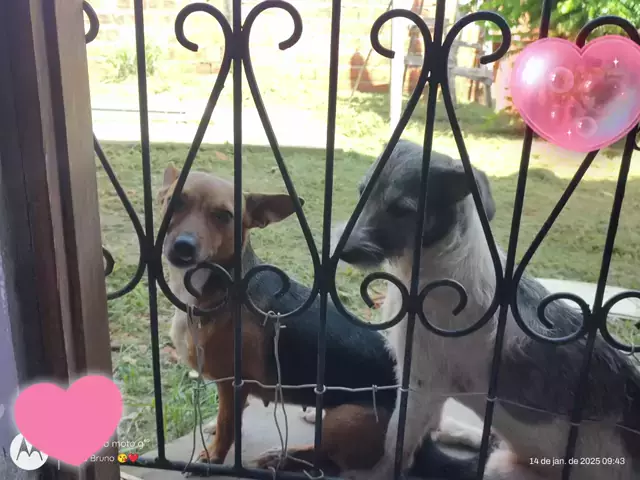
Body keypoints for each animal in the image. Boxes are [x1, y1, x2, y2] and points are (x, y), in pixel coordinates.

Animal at [159, 165, 488, 478]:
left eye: (224, 216)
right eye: (174, 202)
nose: (183, 247)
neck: (219, 284)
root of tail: (423, 444)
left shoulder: (233, 383)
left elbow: (229, 425)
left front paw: (213, 457)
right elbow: (226, 417)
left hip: (344, 418)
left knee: (325, 457)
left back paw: (284, 457)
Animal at [337, 140, 640, 480]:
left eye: (402, 210)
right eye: (362, 191)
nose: (341, 251)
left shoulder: (421, 382)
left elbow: (396, 444)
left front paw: (374, 473)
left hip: (501, 468)